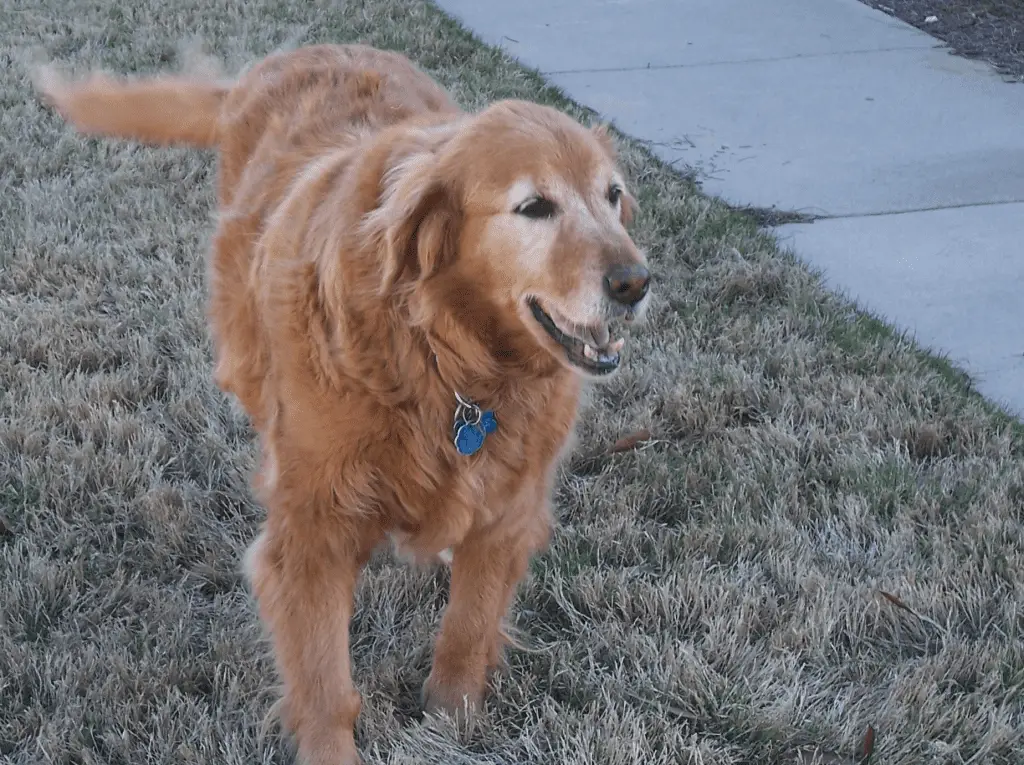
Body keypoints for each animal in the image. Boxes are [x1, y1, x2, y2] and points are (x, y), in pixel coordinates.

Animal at [39, 43, 651, 765]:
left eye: (613, 196)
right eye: (534, 207)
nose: (637, 282)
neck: (447, 361)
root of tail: (291, 54)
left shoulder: (510, 505)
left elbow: (468, 626)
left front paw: (453, 719)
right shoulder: (314, 530)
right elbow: (325, 678)